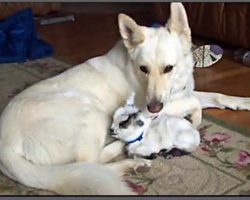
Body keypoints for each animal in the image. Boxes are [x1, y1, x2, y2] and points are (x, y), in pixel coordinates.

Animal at [0, 2, 250, 195]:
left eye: (168, 68)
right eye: (144, 68)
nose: (154, 108)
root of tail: (6, 147)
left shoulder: (178, 94)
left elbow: (215, 95)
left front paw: (242, 102)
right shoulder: (156, 105)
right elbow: (195, 103)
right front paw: (194, 119)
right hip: (92, 113)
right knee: (89, 164)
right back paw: (130, 158)